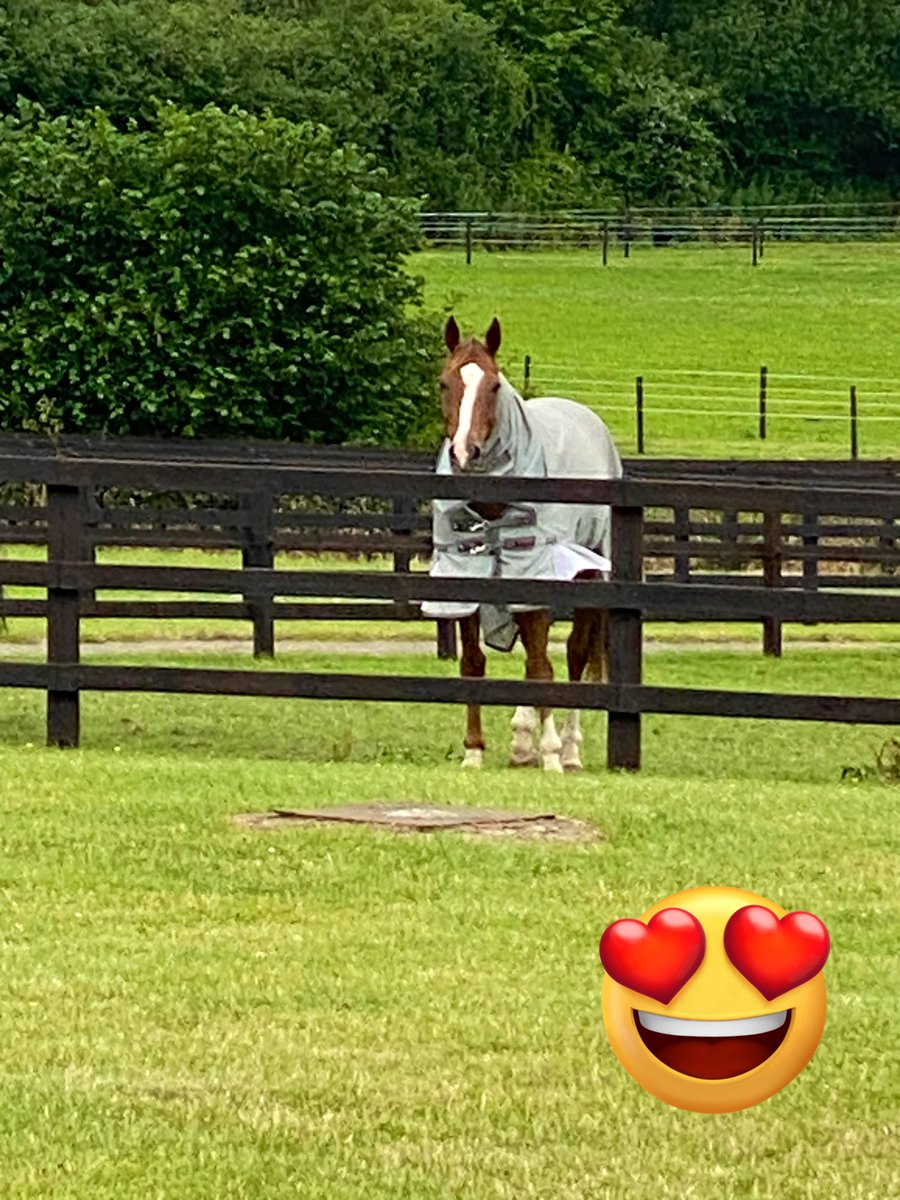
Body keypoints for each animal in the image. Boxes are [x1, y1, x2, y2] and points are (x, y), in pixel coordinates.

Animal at [421, 316, 623, 772]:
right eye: (444, 382)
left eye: (495, 385)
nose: (466, 452)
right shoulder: (467, 577)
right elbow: (474, 663)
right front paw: (474, 751)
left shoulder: (537, 572)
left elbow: (542, 666)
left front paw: (550, 754)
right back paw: (522, 741)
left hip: (589, 573)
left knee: (573, 654)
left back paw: (568, 750)